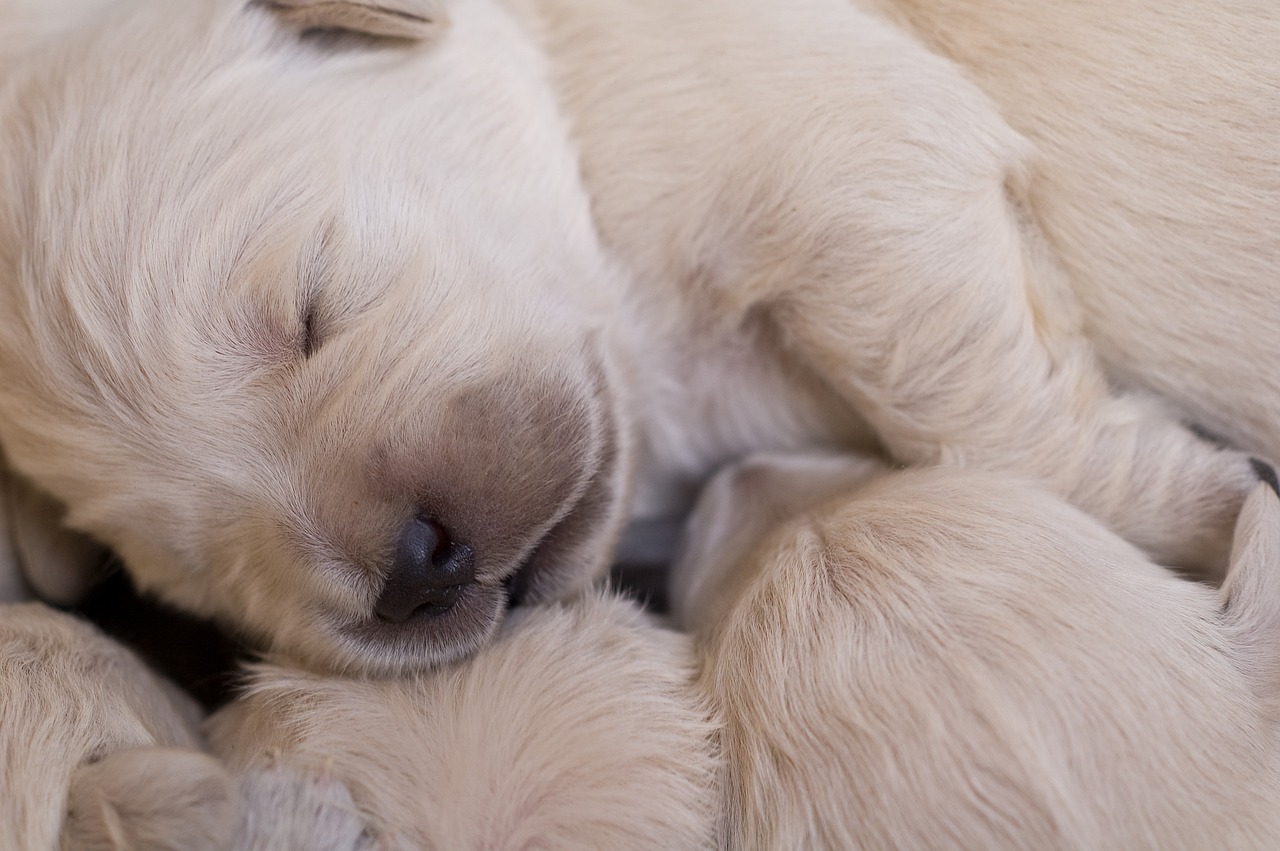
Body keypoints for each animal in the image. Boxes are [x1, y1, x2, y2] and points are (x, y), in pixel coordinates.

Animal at [0, 0, 1269, 670]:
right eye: (181, 563)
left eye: (309, 308)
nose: (413, 573)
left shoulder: (851, 149)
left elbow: (970, 405)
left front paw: (1213, 508)